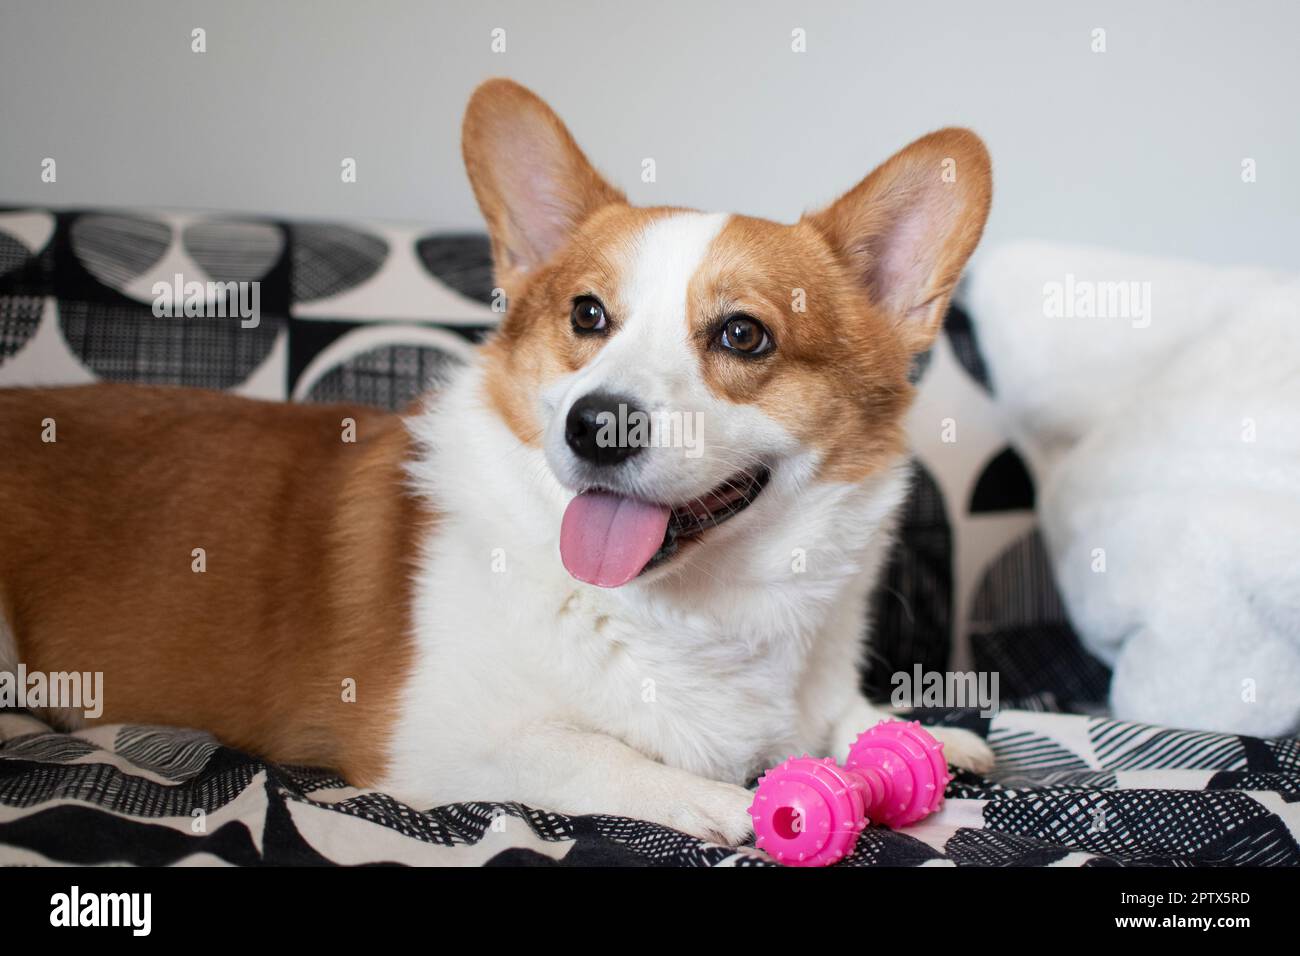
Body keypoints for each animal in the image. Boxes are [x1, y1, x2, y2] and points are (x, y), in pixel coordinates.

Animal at [0, 80, 987, 842]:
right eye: (588, 315)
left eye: (744, 335)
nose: (596, 426)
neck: (697, 613)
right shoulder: (431, 738)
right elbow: (592, 750)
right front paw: (717, 801)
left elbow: (845, 717)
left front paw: (920, 735)